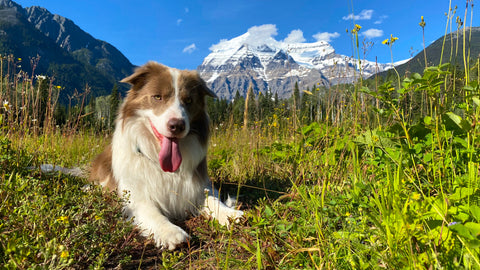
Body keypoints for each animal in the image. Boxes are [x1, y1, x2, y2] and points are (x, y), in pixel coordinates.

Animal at [89, 61, 242, 251]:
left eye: (189, 101)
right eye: (157, 97)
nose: (177, 125)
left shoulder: (198, 185)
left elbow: (213, 199)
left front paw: (231, 214)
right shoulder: (134, 194)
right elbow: (151, 211)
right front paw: (170, 232)